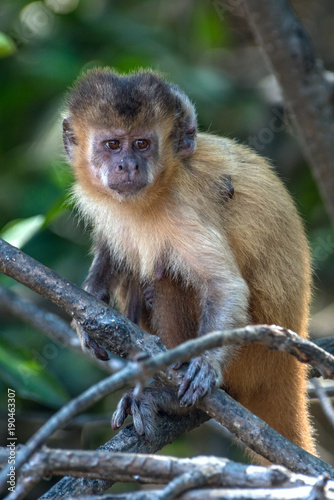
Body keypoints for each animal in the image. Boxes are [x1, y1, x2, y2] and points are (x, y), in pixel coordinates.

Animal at [62, 68, 316, 456]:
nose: (127, 165)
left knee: (167, 276)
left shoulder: (182, 205)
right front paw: (88, 307)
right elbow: (111, 249)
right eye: (112, 145)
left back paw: (167, 397)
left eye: (142, 144)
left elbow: (223, 286)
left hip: (252, 358)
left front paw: (205, 364)